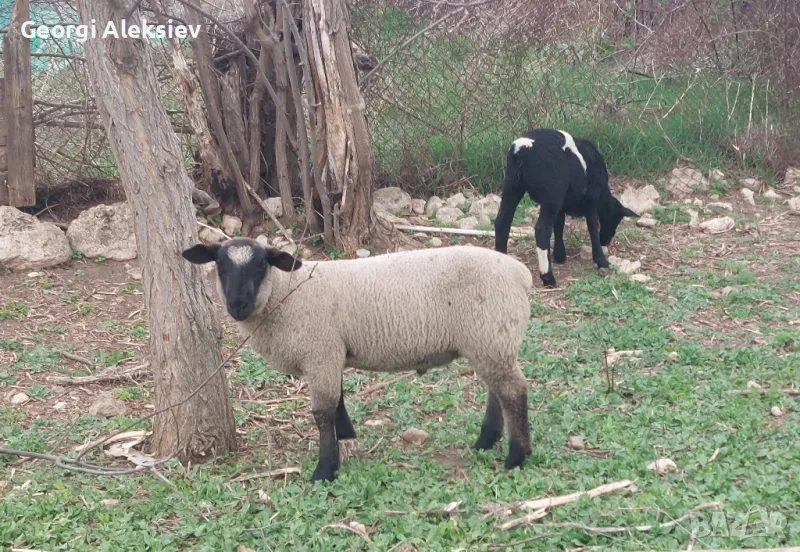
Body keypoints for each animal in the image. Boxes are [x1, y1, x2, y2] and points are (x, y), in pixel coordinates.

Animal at [184, 239, 536, 480]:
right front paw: (347, 438)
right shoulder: (330, 353)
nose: (238, 305)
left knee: (513, 391)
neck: (287, 293)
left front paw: (325, 469)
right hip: (489, 340)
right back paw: (486, 441)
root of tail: (521, 273)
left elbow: (322, 411)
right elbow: (337, 401)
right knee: (498, 391)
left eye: (261, 266)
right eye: (220, 265)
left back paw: (516, 457)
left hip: (490, 333)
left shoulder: (320, 351)